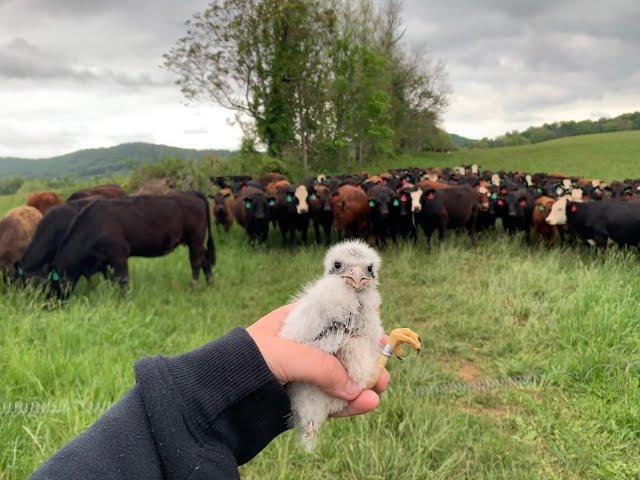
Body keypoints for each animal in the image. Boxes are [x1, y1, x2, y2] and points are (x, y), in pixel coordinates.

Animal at [50, 191, 215, 296]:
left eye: (50, 283)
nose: (48, 305)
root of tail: (192, 193)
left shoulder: (119, 256)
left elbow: (123, 280)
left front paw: (124, 300)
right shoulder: (105, 262)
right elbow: (112, 280)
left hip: (195, 239)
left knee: (196, 263)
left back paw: (194, 289)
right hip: (194, 242)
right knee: (205, 261)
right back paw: (210, 285)